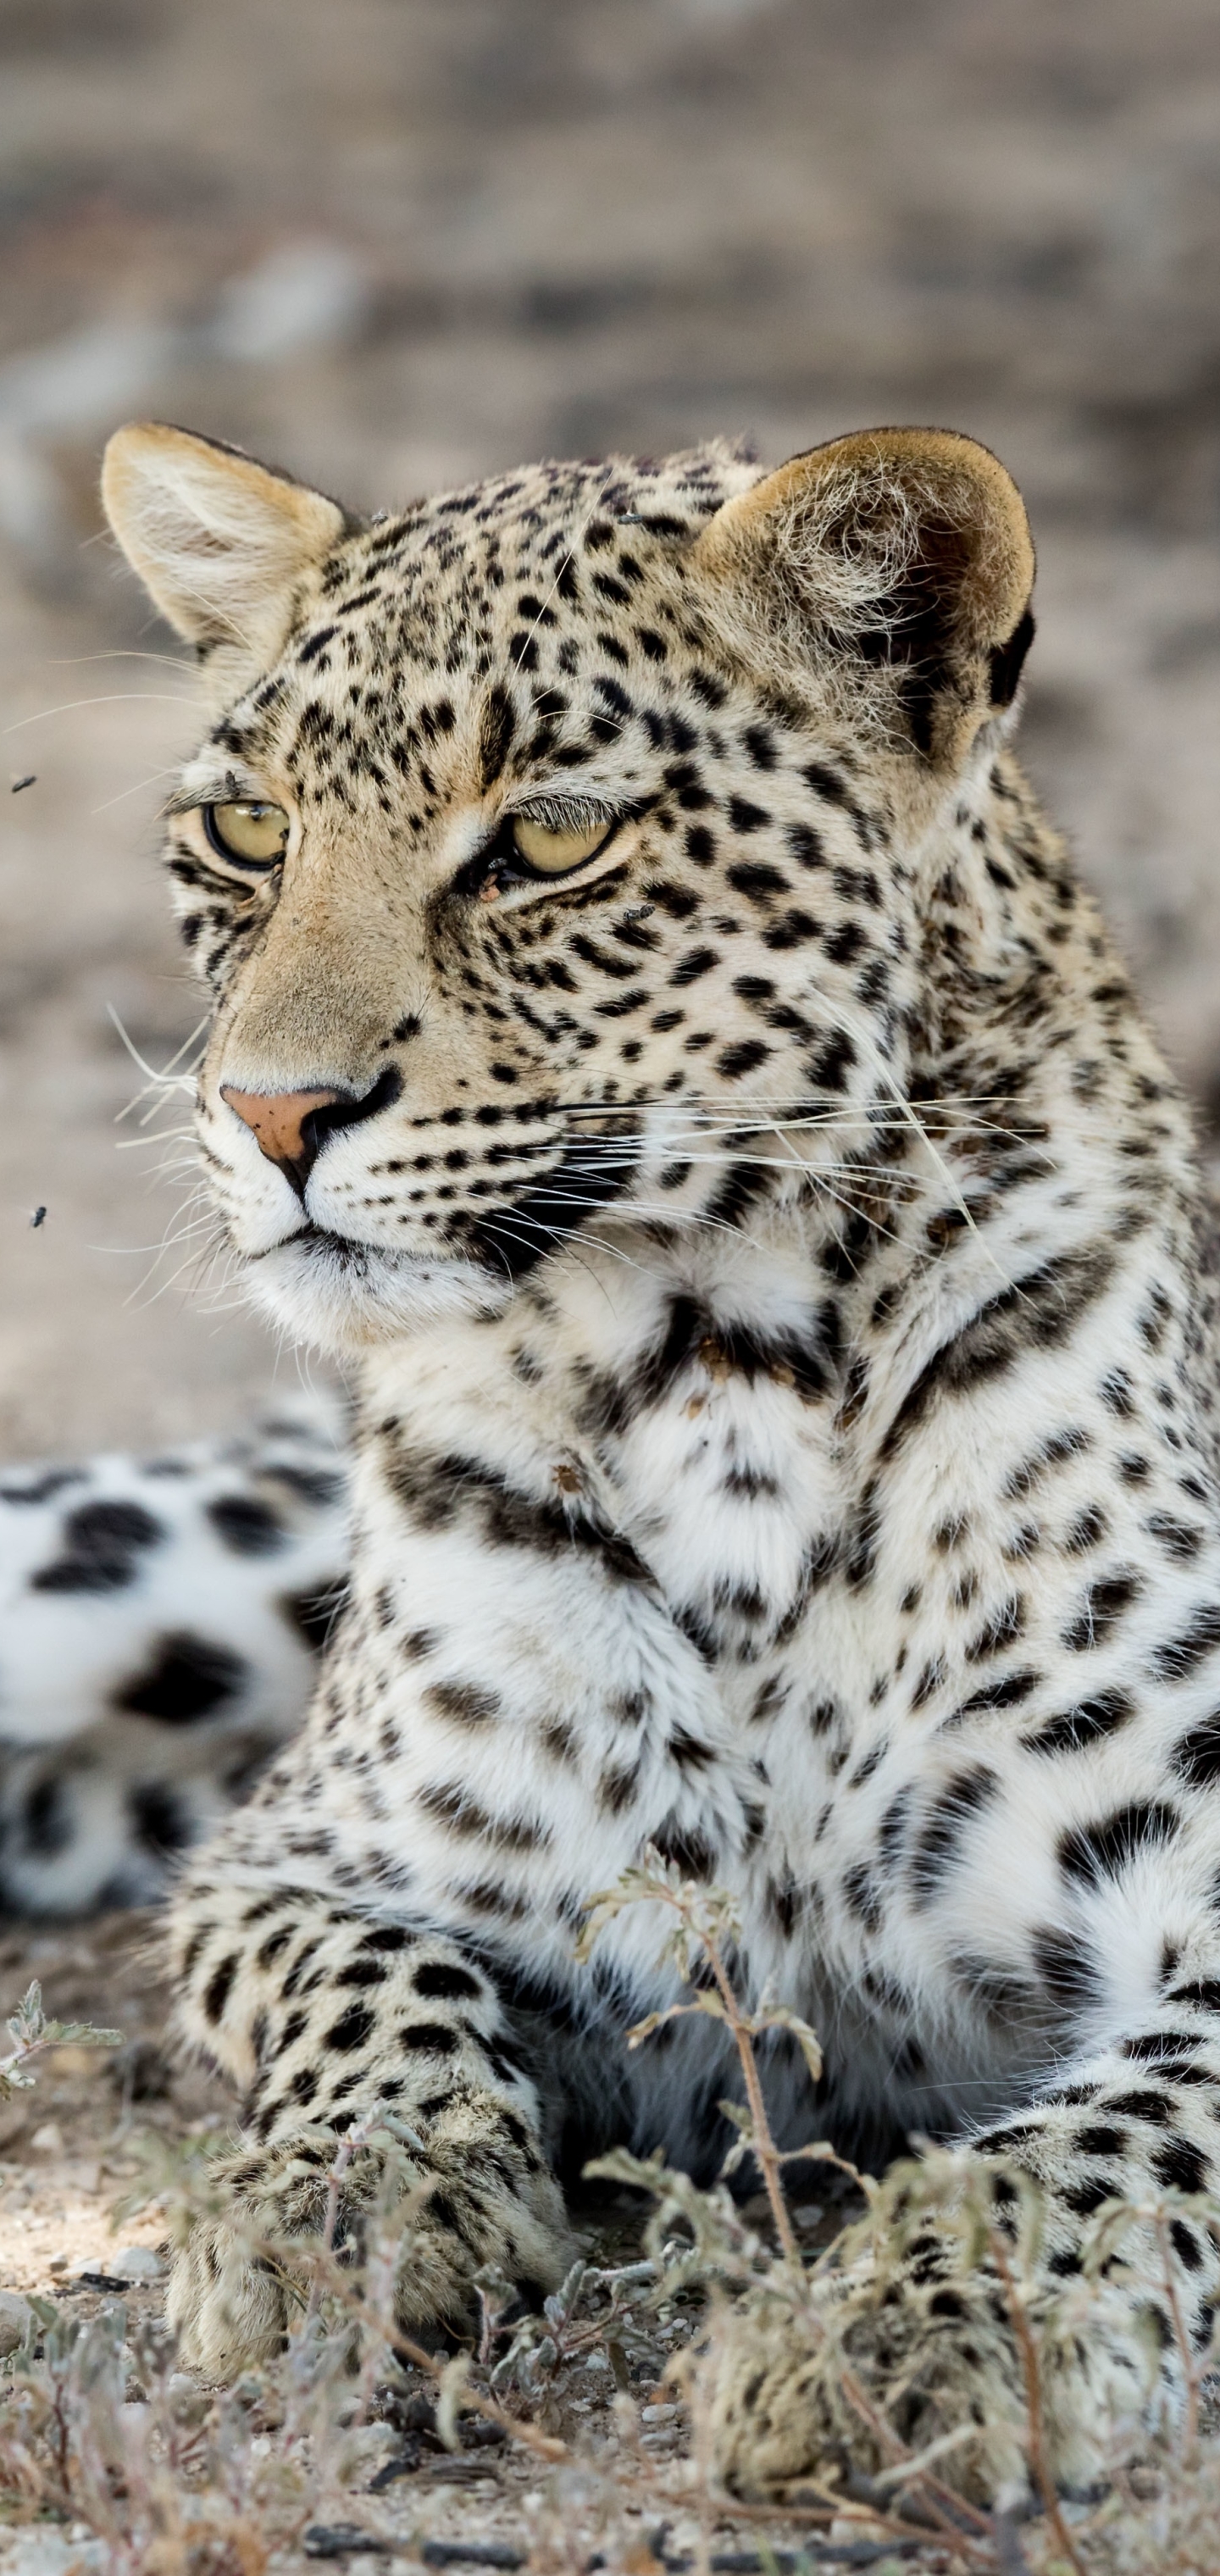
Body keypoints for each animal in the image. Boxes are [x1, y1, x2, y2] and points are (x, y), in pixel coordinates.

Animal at [76, 417, 1220, 2493]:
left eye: (549, 839)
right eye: (251, 833)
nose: (267, 1113)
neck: (718, 1368)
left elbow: (1100, 2138)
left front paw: (906, 2324)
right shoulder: (299, 1865)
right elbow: (376, 1993)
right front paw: (341, 2208)